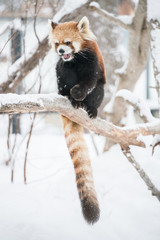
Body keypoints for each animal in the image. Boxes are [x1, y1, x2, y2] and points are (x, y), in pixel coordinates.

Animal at [48, 16, 106, 223]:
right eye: (57, 44)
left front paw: (78, 93)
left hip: (101, 90)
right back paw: (69, 99)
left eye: (68, 42)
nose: (61, 51)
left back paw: (90, 108)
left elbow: (90, 81)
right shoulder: (63, 67)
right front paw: (69, 94)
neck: (75, 59)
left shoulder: (92, 62)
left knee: (98, 91)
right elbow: (63, 74)